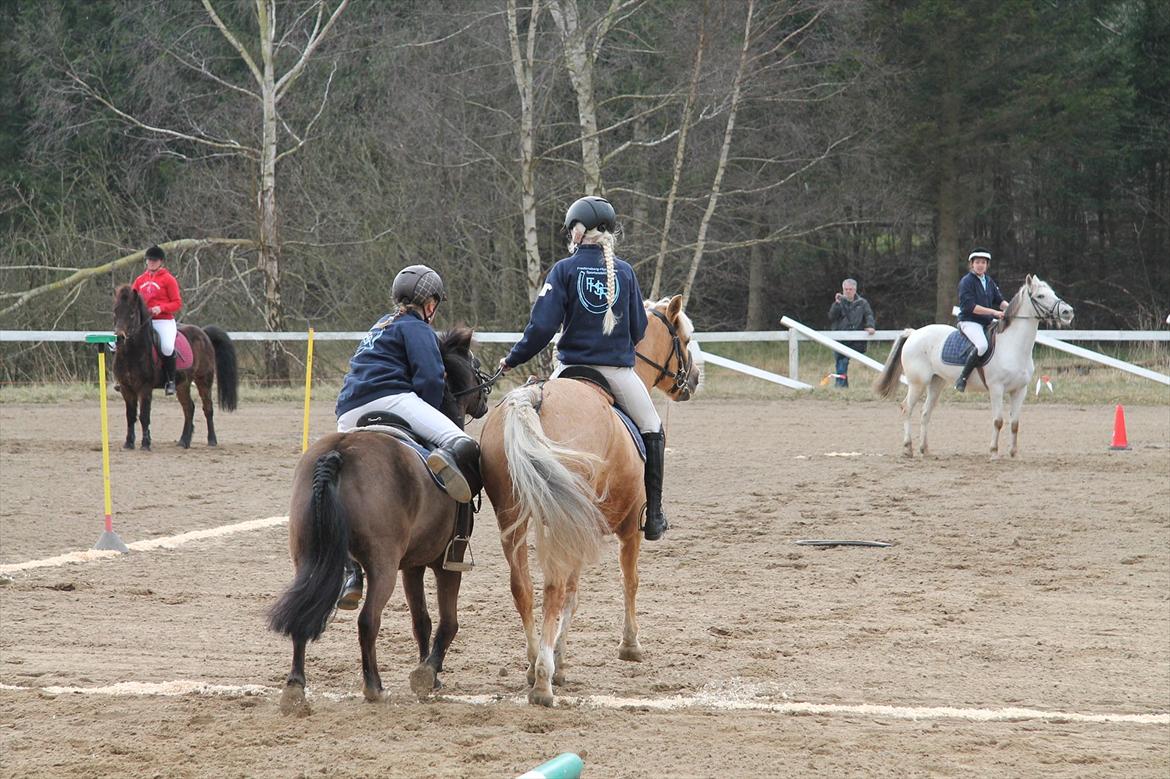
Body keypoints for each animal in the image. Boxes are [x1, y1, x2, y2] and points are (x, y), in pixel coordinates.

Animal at [111, 284, 238, 450]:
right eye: (115, 311)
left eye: (132, 313)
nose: (119, 338)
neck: (131, 353)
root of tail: (203, 332)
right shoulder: (126, 388)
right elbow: (130, 416)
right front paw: (129, 443)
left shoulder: (145, 388)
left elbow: (144, 416)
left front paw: (145, 444)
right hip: (182, 384)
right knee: (189, 408)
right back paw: (184, 441)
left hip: (203, 380)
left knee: (208, 408)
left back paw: (212, 440)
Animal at [268, 327, 493, 713]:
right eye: (474, 365)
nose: (485, 401)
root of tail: (338, 452)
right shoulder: (447, 561)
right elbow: (447, 622)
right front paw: (428, 674)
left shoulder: (413, 565)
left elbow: (421, 621)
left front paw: (429, 674)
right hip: (383, 566)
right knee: (368, 621)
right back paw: (373, 685)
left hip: (308, 557)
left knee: (303, 613)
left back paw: (295, 686)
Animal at [478, 294, 702, 707]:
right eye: (685, 338)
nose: (693, 379)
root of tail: (533, 397)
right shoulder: (628, 527)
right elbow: (629, 580)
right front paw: (629, 645)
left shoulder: (578, 527)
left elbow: (573, 593)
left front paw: (560, 660)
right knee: (551, 589)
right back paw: (542, 683)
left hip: (513, 516)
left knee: (524, 587)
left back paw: (534, 663)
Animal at [874, 274, 1073, 458]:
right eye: (1040, 296)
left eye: (1052, 293)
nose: (1068, 312)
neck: (1013, 346)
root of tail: (914, 333)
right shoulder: (997, 388)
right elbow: (998, 421)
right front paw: (994, 452)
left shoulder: (1020, 390)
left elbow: (1015, 423)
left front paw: (1014, 453)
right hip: (917, 383)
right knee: (907, 409)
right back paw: (908, 448)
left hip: (936, 382)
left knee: (925, 413)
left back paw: (925, 450)